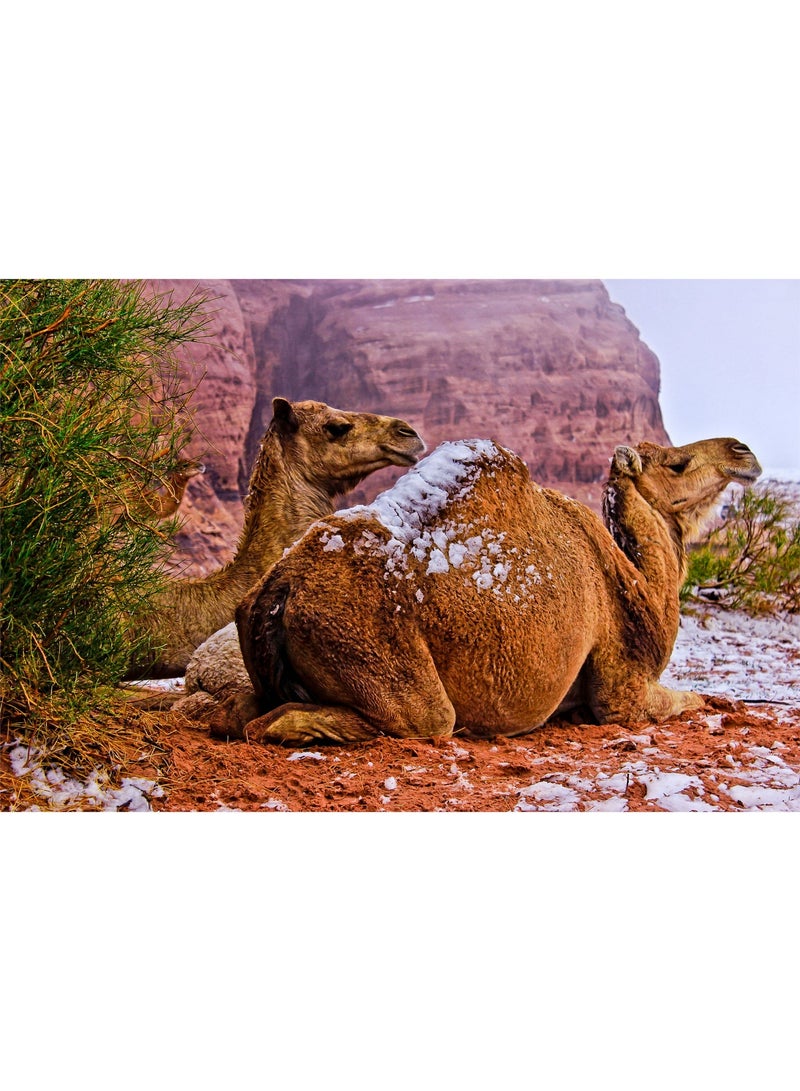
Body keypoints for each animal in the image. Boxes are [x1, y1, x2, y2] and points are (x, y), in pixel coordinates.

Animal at [221, 435, 761, 745]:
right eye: (676, 464)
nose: (743, 451)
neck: (641, 585)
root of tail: (280, 588)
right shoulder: (621, 689)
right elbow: (691, 699)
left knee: (238, 711)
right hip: (375, 653)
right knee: (422, 721)